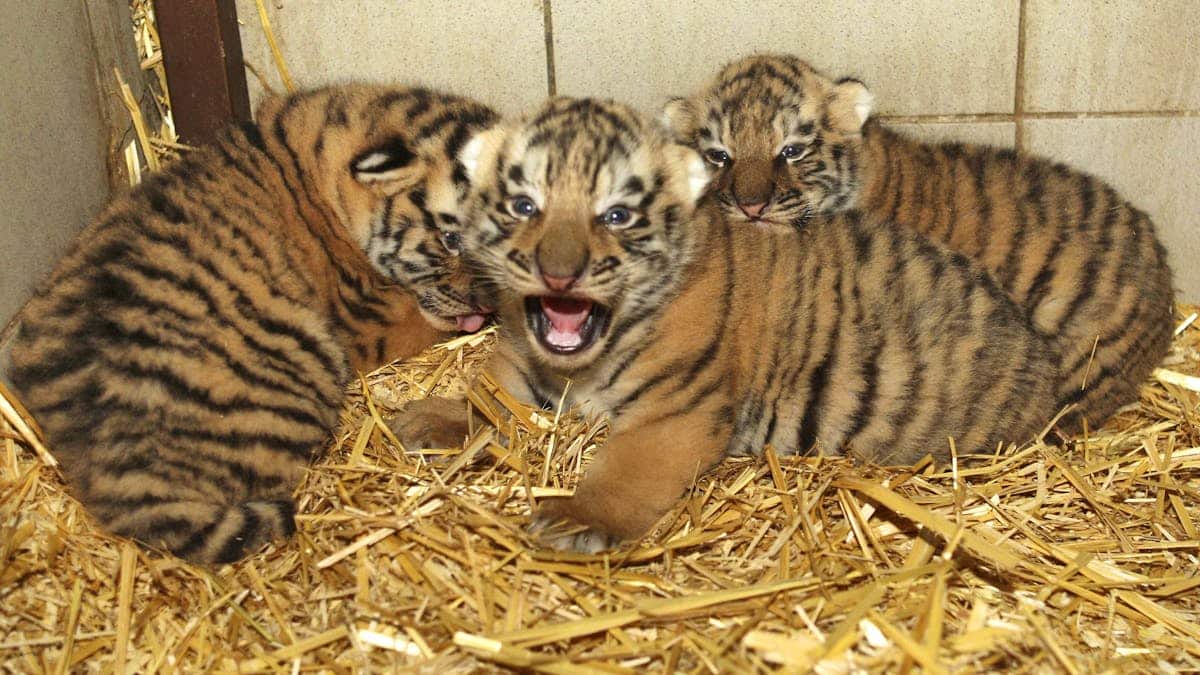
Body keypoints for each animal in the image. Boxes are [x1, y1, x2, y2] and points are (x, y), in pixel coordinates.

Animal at [387, 96, 1062, 552]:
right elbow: (486, 396)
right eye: (524, 205)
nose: (558, 274)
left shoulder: (676, 413)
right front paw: (426, 418)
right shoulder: (523, 369)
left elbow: (626, 471)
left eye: (618, 215)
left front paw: (578, 518)